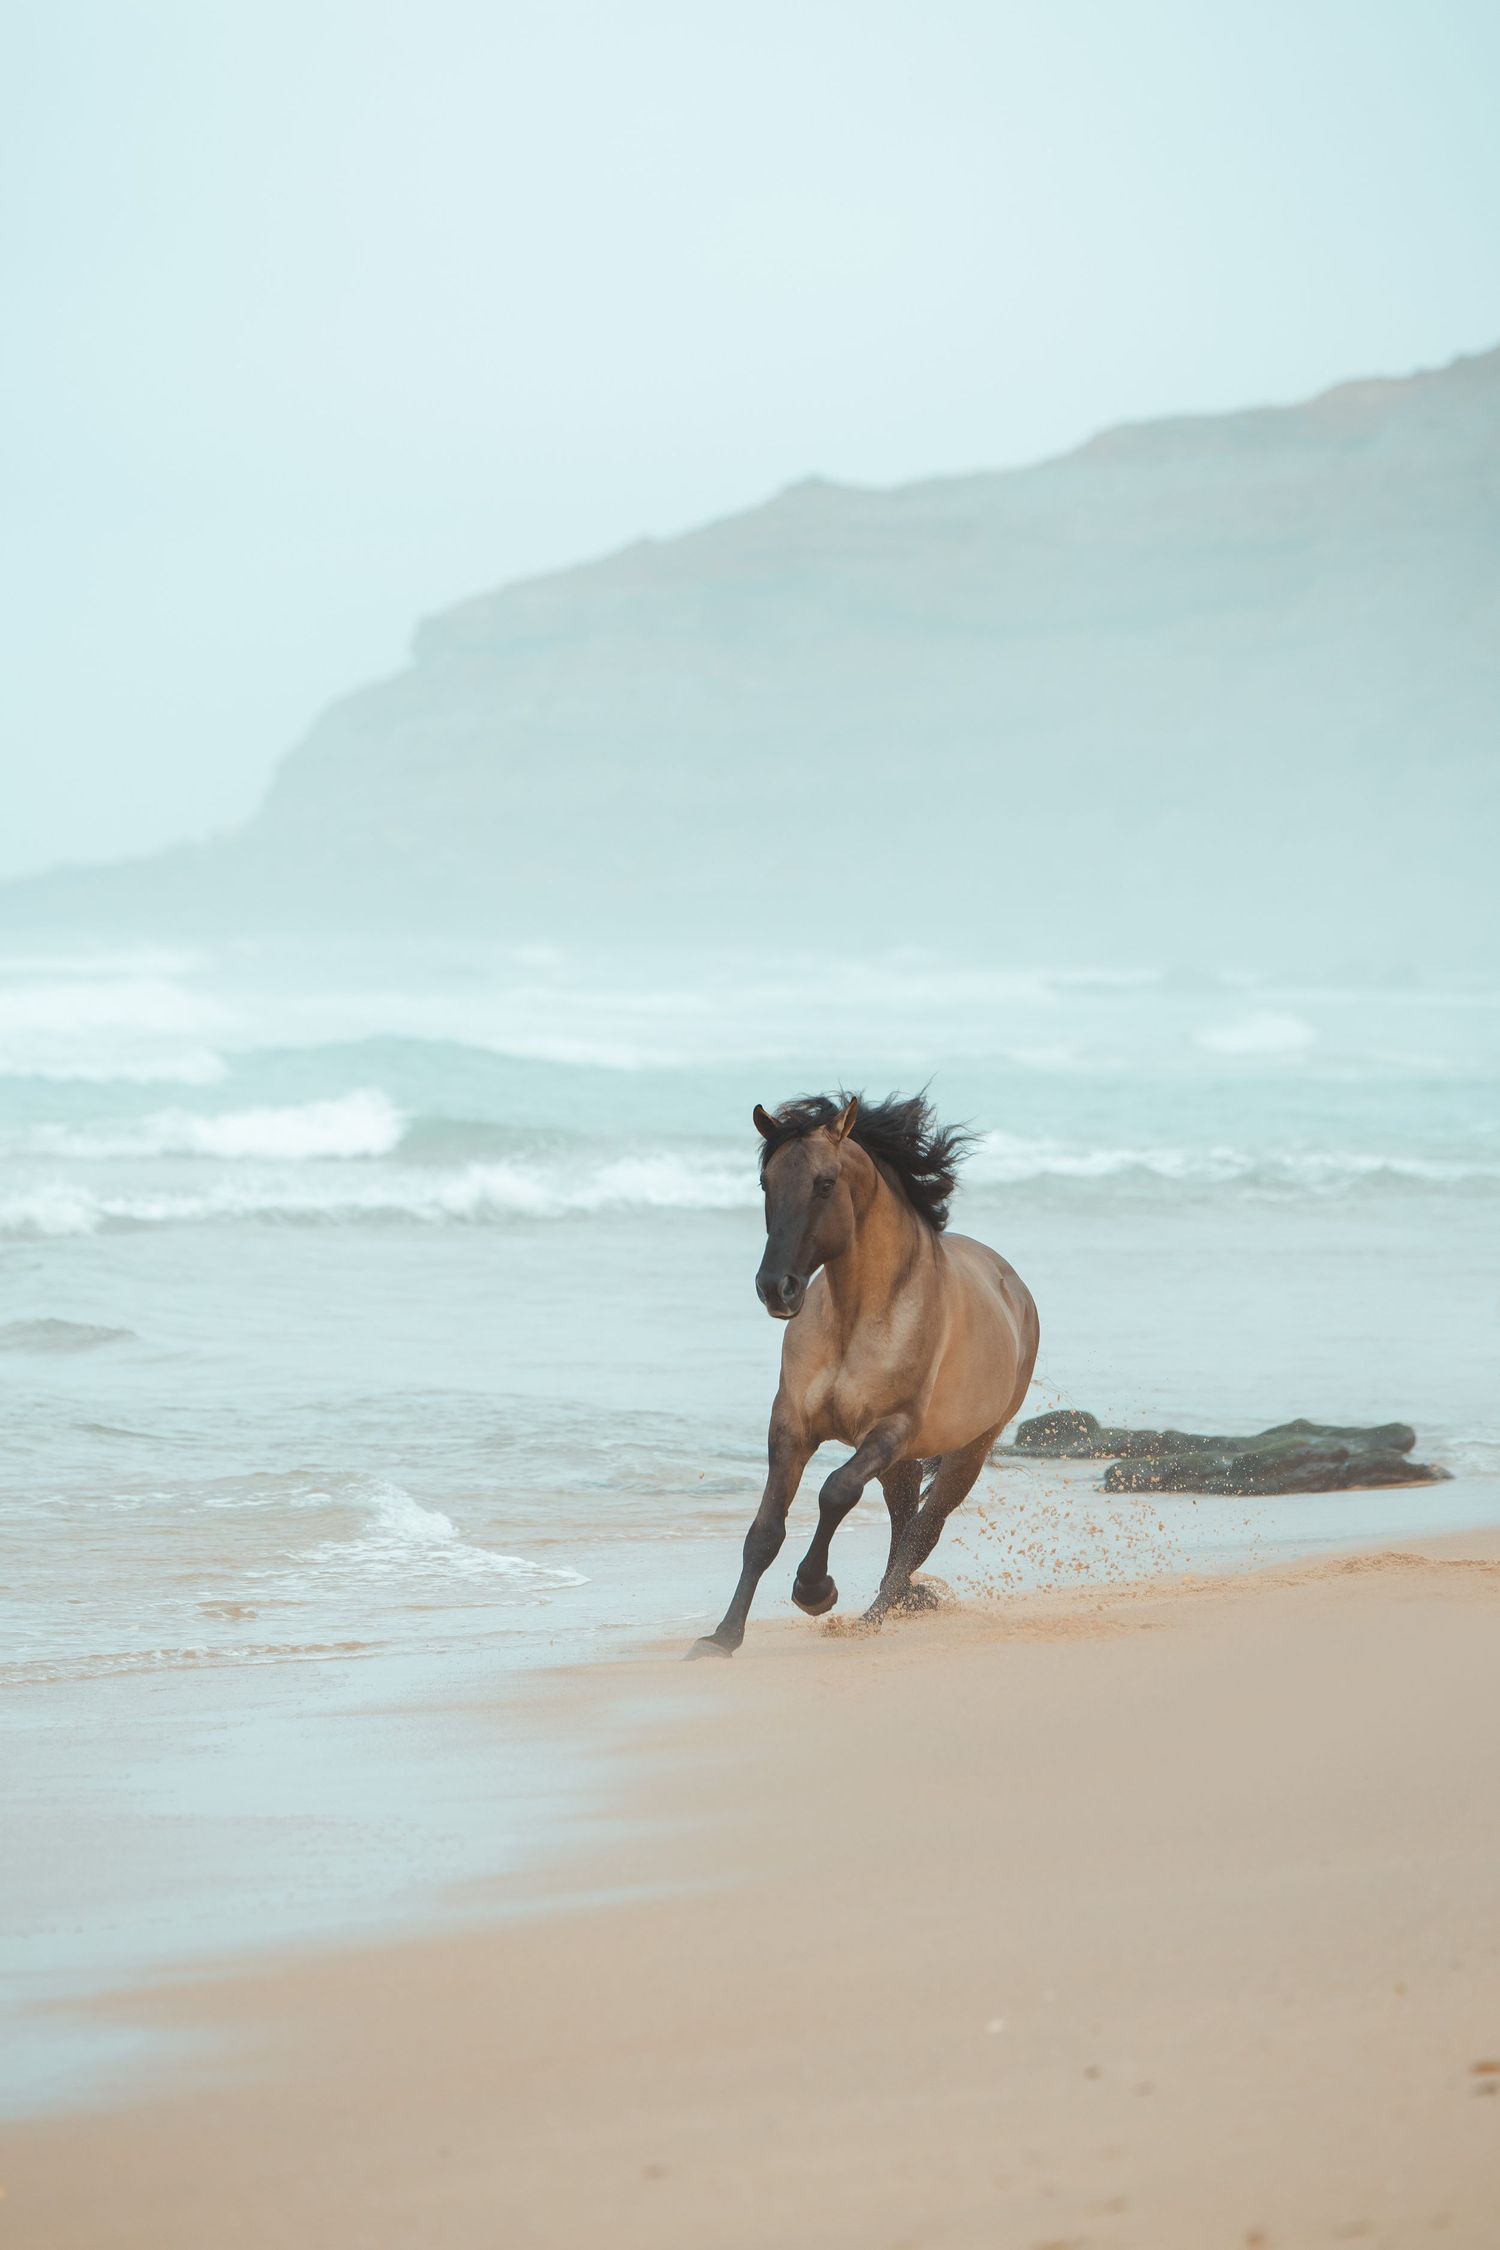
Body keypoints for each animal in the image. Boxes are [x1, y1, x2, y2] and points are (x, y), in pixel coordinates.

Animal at [689, 1090, 1039, 1658]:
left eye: (825, 1183)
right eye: (766, 1183)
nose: (775, 1288)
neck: (857, 1318)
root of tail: (1015, 1289)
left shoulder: (890, 1430)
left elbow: (835, 1492)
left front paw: (815, 1591)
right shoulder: (791, 1424)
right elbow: (765, 1530)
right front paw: (722, 1637)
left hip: (970, 1449)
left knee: (924, 1529)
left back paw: (876, 1614)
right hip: (905, 1464)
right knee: (904, 1524)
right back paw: (893, 1605)